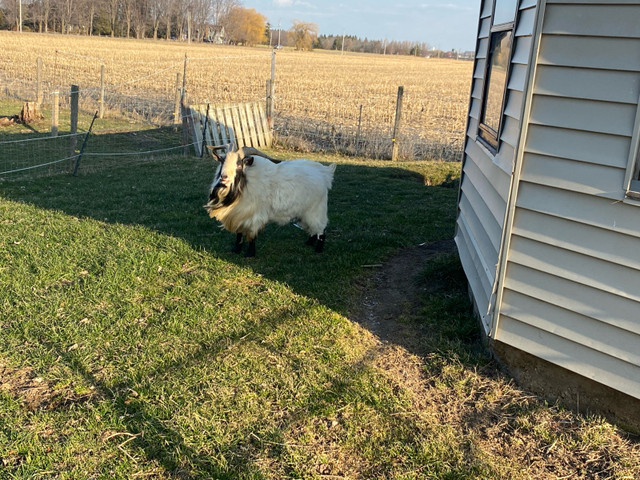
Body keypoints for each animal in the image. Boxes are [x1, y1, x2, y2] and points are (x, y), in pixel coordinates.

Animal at [205, 143, 338, 256]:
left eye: (239, 164)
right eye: (222, 162)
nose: (224, 177)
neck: (244, 182)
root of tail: (325, 173)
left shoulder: (254, 215)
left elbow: (251, 235)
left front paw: (250, 254)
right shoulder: (239, 214)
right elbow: (239, 234)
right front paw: (236, 249)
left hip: (316, 209)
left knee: (322, 228)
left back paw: (318, 249)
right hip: (304, 212)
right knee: (313, 228)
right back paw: (309, 242)